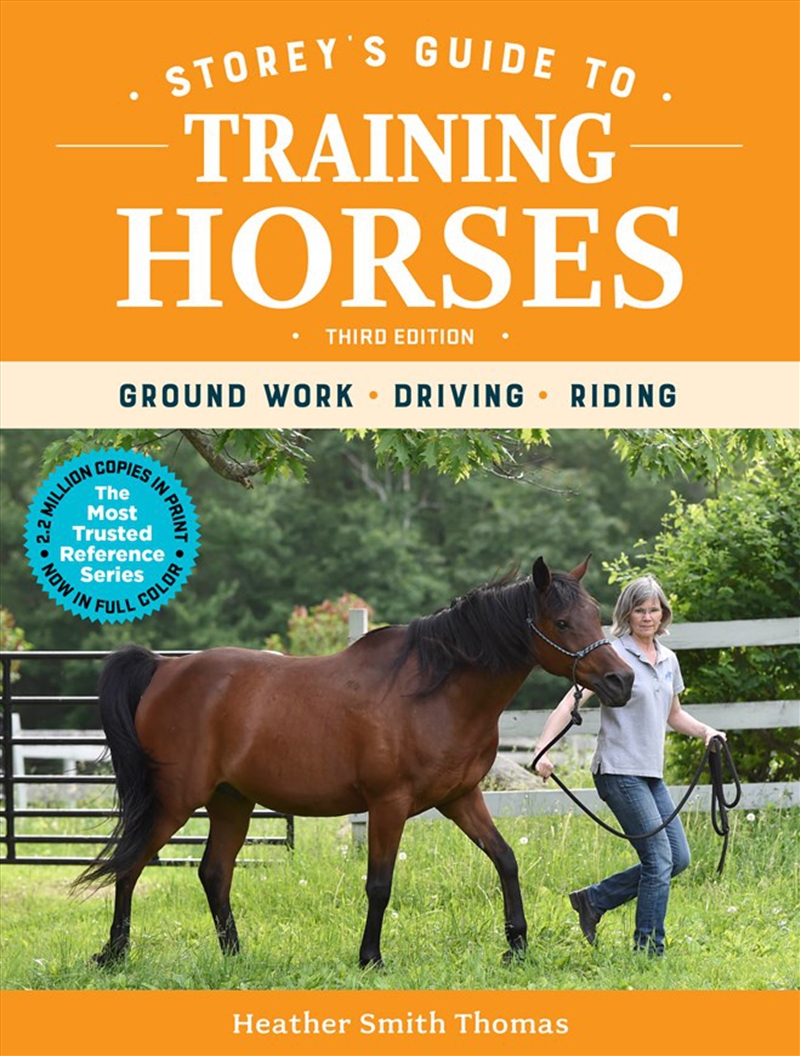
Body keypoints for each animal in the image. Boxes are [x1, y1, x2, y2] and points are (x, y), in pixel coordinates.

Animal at [79, 555, 633, 968]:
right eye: (562, 622)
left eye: (596, 615)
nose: (621, 681)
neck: (434, 690)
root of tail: (163, 669)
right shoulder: (388, 805)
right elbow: (380, 884)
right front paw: (371, 957)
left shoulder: (460, 798)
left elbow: (505, 859)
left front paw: (517, 944)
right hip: (175, 801)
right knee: (130, 864)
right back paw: (115, 954)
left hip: (231, 802)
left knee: (214, 873)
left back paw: (234, 955)